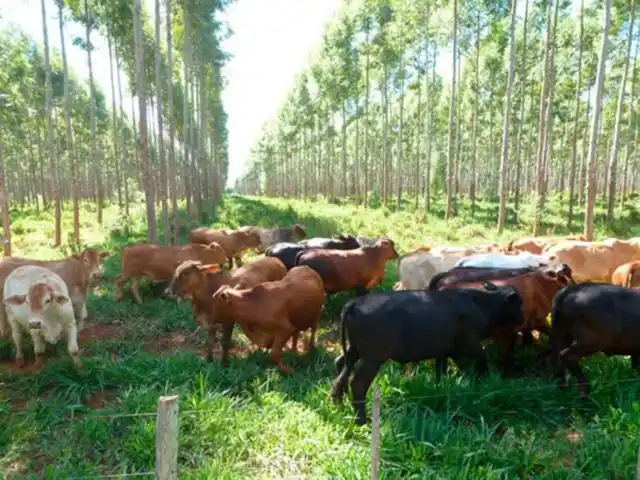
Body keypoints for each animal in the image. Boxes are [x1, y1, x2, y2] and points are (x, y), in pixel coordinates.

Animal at [330, 283, 524, 425]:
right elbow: (481, 359)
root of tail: (354, 303)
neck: (480, 303)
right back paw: (361, 420)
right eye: (519, 303)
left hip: (353, 350)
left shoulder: (449, 351)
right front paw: (483, 382)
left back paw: (338, 404)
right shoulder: (468, 345)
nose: (522, 320)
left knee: (340, 368)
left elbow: (450, 370)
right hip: (372, 358)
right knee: (358, 383)